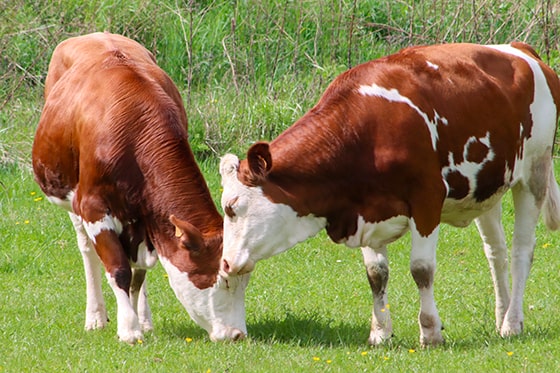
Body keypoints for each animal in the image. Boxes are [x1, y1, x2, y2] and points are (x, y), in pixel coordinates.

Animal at [31, 32, 248, 342]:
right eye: (224, 281)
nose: (237, 334)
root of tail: (94, 34)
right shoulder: (93, 206)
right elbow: (119, 270)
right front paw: (128, 329)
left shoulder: (150, 218)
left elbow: (138, 275)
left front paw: (139, 321)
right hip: (71, 198)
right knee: (87, 250)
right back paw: (96, 316)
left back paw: (144, 318)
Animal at [218, 42, 560, 346]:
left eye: (232, 207)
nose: (225, 264)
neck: (364, 132)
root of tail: (520, 48)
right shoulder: (365, 211)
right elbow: (376, 274)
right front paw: (380, 333)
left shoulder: (427, 199)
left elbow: (421, 270)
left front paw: (430, 332)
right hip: (487, 188)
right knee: (496, 253)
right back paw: (501, 316)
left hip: (534, 171)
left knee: (521, 251)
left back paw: (512, 323)